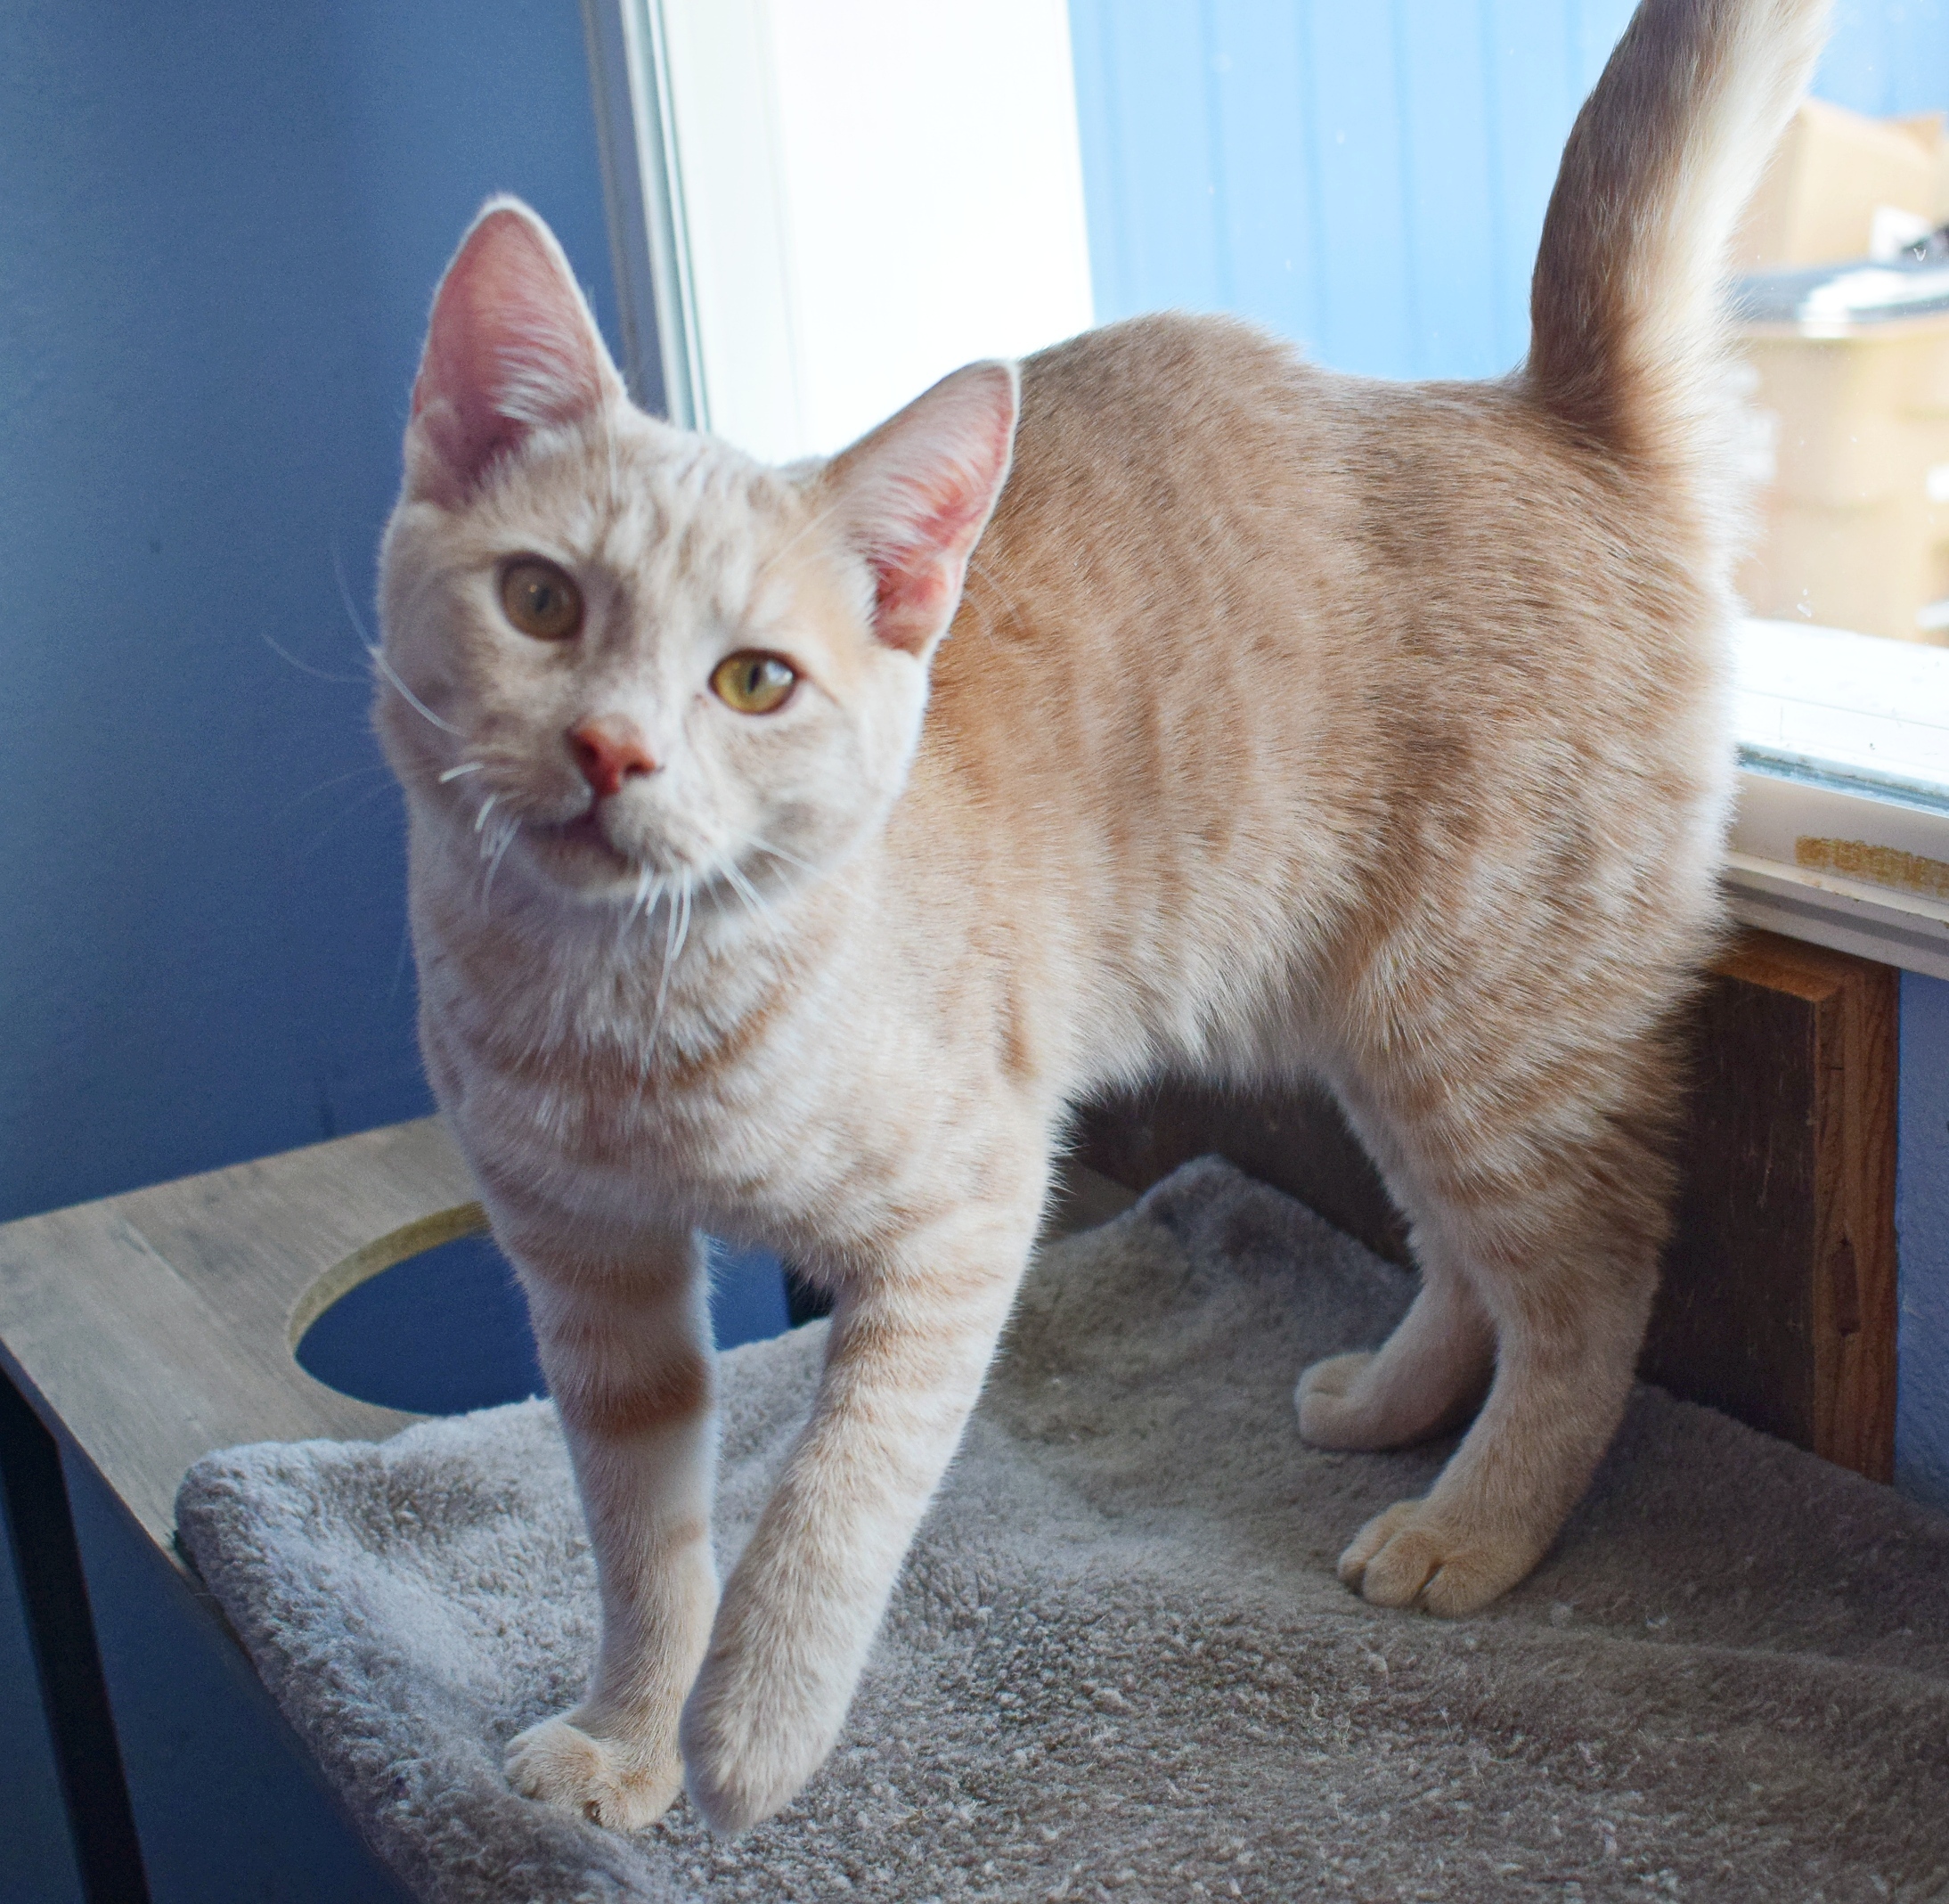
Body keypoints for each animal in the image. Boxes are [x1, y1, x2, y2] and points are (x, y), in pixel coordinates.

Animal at [376, 0, 1823, 1839]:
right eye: (541, 600)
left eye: (754, 681)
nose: (610, 750)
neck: (618, 1008)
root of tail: (1545, 410)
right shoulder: (596, 1292)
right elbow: (644, 1543)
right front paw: (624, 1737)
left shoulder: (961, 1212)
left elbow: (829, 1499)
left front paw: (753, 1729)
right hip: (1388, 1029)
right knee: (1465, 1252)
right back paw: (1392, 1401)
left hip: (1483, 1017)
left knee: (1584, 1280)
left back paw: (1474, 1521)